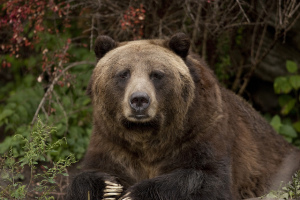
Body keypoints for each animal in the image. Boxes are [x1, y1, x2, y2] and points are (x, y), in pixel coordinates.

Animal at [66, 33, 300, 200]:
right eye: (123, 73)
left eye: (157, 74)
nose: (139, 100)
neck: (147, 135)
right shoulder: (111, 139)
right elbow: (86, 175)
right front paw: (109, 187)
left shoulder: (202, 130)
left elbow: (209, 179)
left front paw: (134, 194)